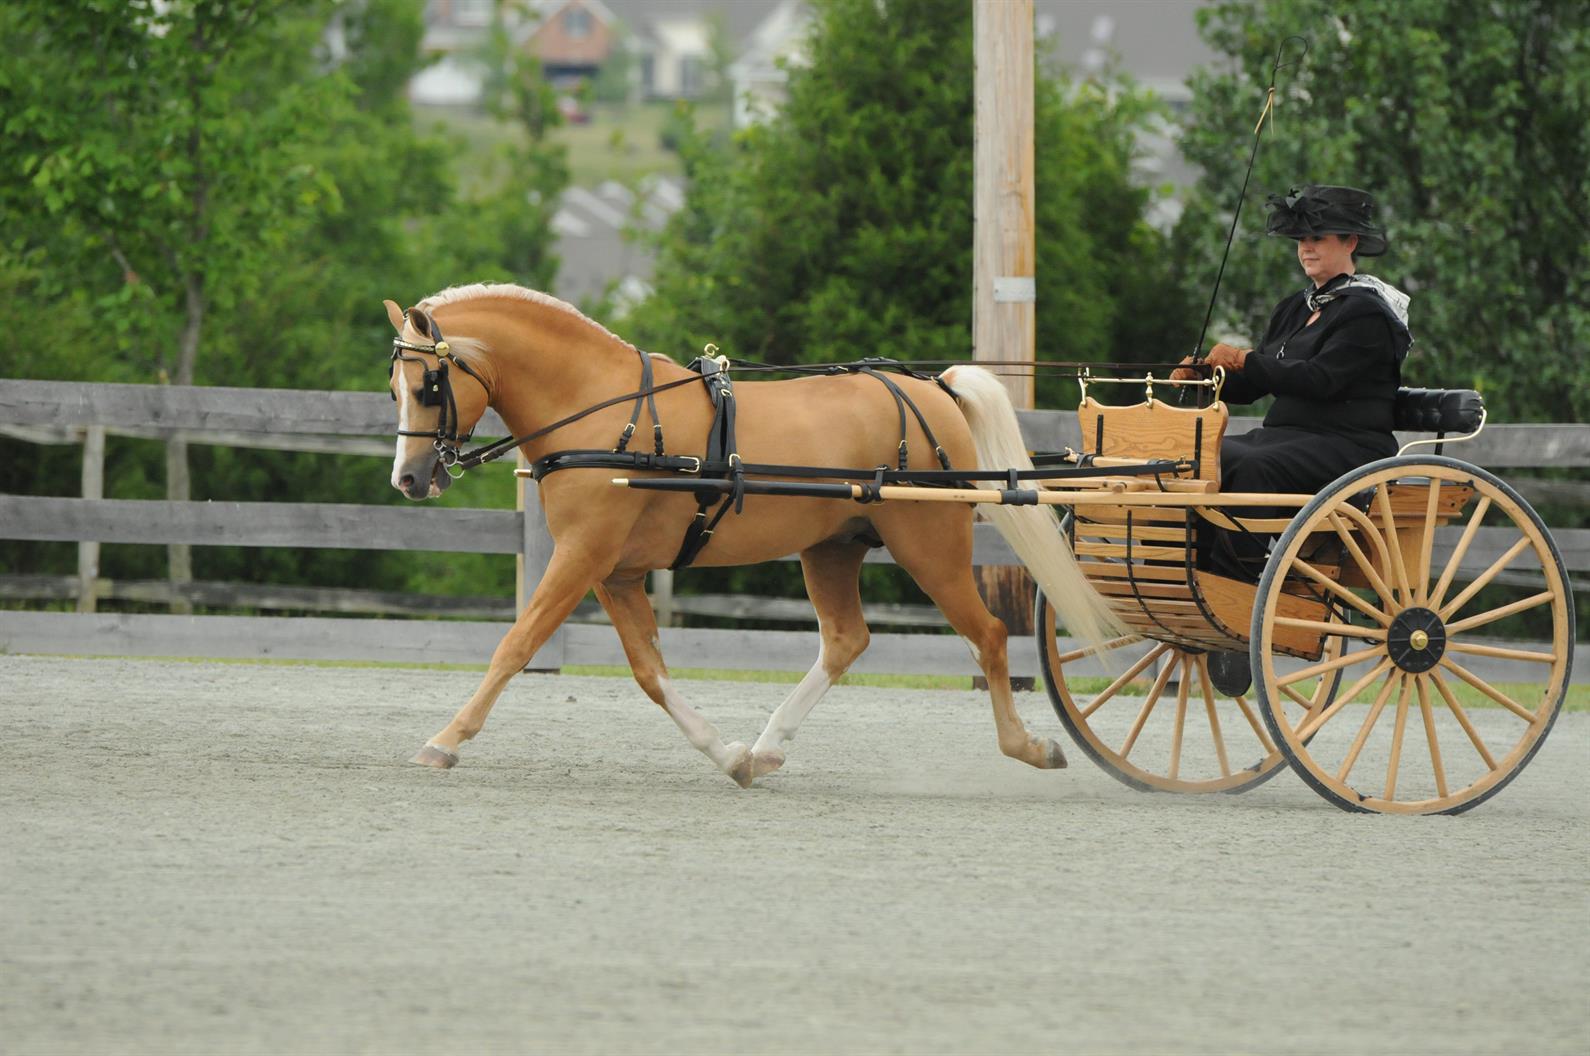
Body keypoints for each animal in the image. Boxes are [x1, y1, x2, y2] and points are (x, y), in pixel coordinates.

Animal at [383, 284, 1119, 788]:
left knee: (988, 635)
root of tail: (931, 388)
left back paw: (1030, 747)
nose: (409, 479)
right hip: (833, 548)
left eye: (428, 384)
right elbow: (649, 673)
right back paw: (766, 745)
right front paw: (729, 754)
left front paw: (446, 739)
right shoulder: (615, 572)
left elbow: (517, 644)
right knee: (846, 640)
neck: (605, 411)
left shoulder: (582, 555)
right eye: (394, 389)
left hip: (929, 547)